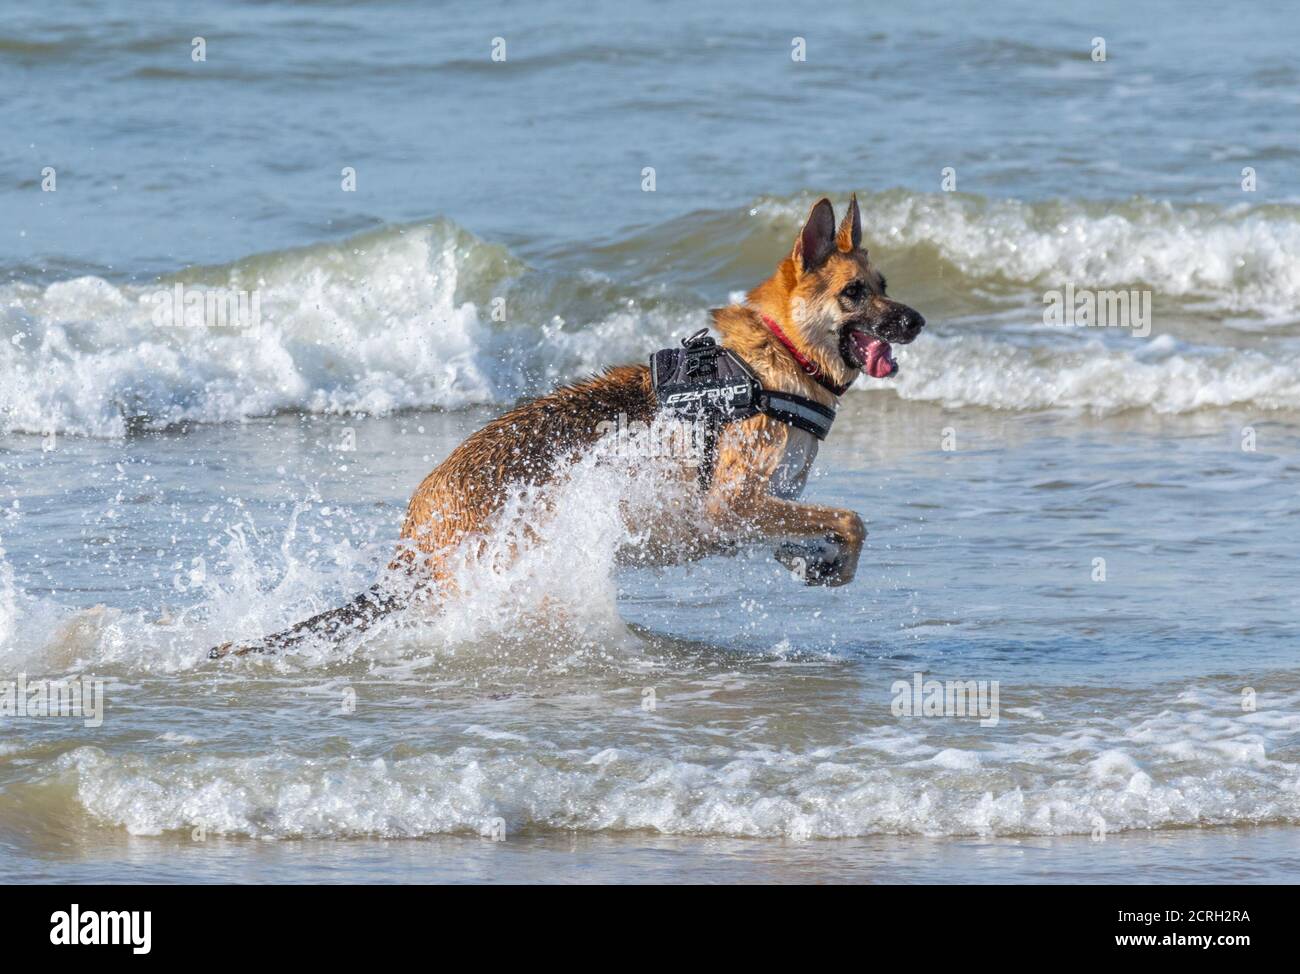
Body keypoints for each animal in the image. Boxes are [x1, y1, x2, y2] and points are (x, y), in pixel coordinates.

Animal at [210, 193, 925, 658]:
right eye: (856, 293)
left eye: (886, 283)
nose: (917, 321)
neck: (777, 356)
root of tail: (420, 516)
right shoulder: (732, 504)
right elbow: (853, 519)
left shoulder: (762, 509)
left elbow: (821, 530)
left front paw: (818, 565)